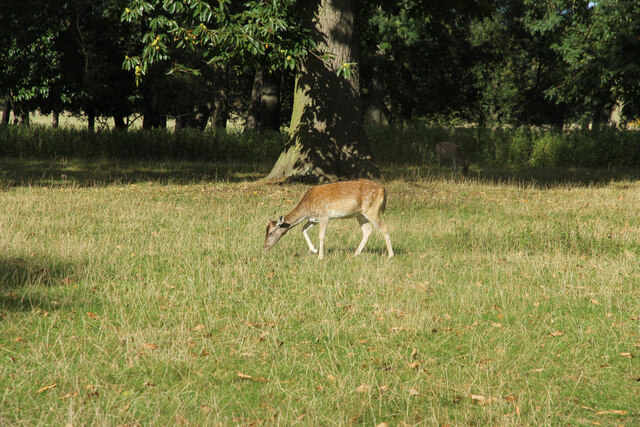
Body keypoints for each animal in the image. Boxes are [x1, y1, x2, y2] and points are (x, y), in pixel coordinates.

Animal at [262, 180, 392, 260]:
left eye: (271, 232)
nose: (265, 247)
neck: (306, 209)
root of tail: (383, 189)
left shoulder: (324, 215)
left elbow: (321, 235)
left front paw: (320, 256)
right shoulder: (313, 219)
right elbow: (303, 229)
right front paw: (314, 250)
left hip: (372, 209)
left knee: (384, 227)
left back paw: (390, 255)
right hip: (359, 214)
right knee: (367, 230)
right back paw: (355, 254)